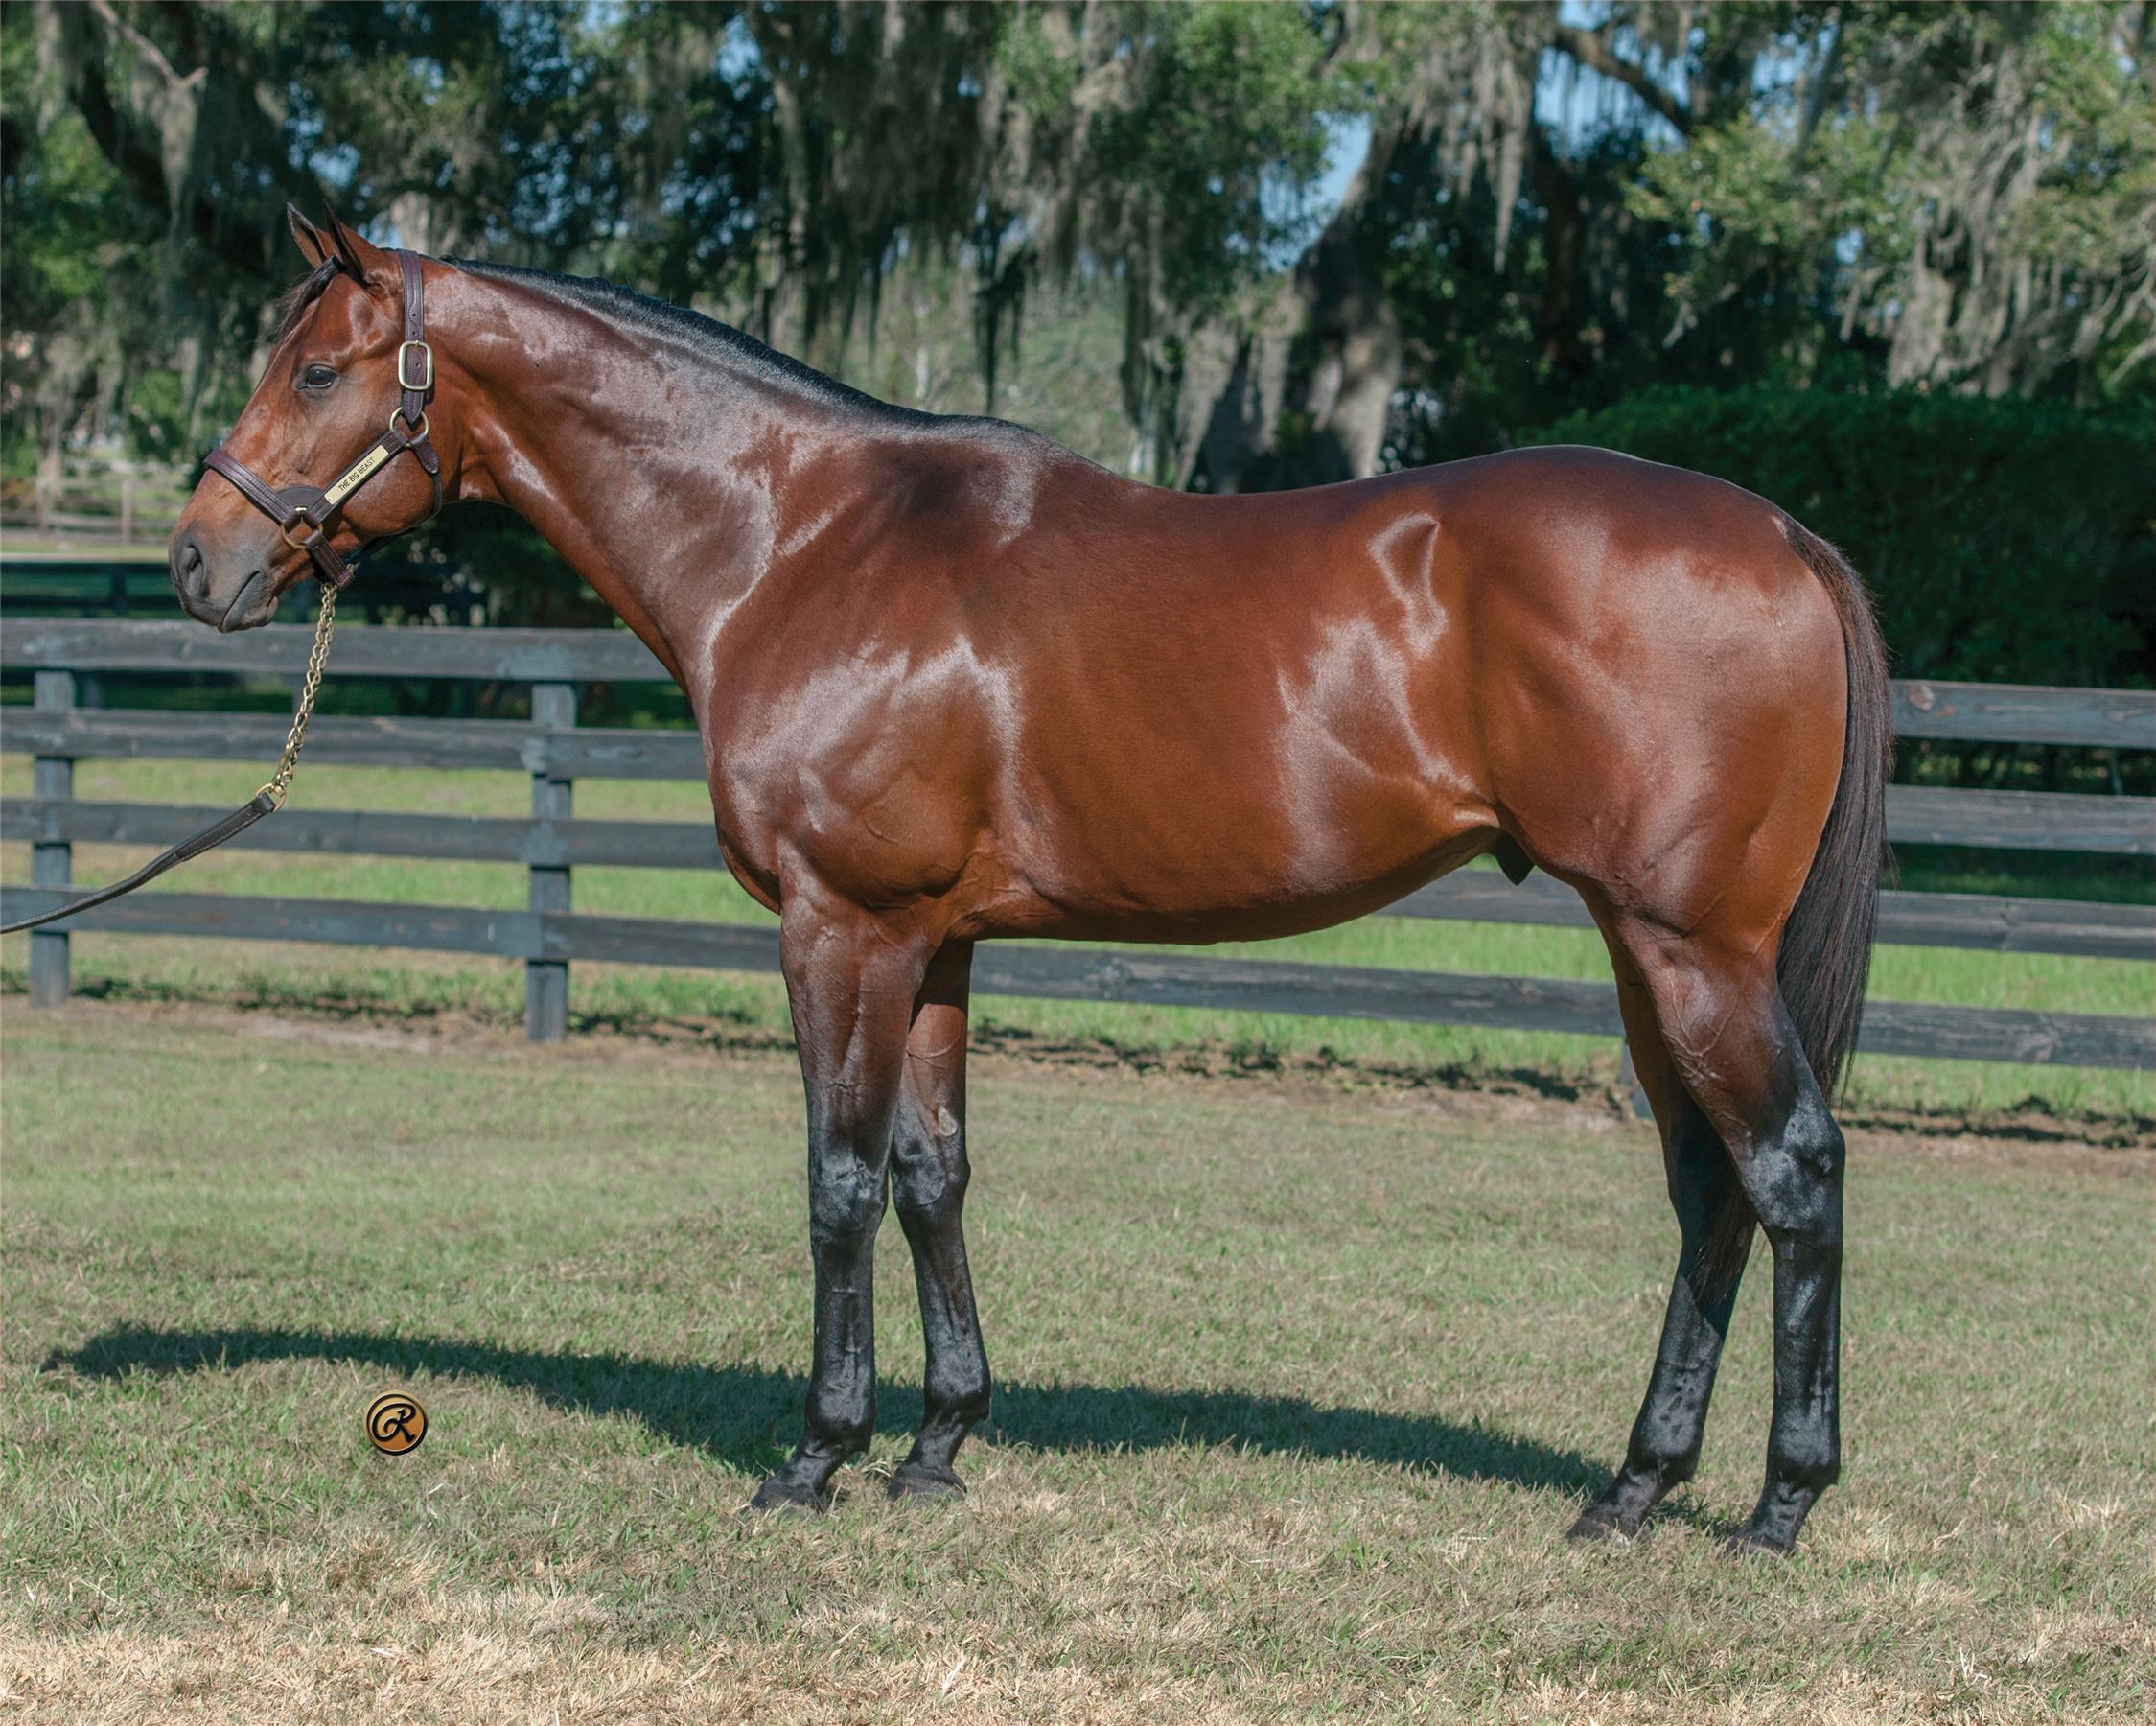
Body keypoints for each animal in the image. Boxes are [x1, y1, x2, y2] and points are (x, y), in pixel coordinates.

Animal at [169, 209, 1889, 1554]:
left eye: (314, 369)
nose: (198, 562)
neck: (798, 540)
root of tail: (1784, 534)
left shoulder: (840, 927)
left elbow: (839, 1180)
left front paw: (815, 1457)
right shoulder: (932, 941)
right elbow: (932, 1173)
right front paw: (938, 1444)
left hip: (1690, 947)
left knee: (1793, 1170)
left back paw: (1777, 1505)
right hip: (1646, 951)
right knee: (1709, 1188)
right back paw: (1633, 1490)